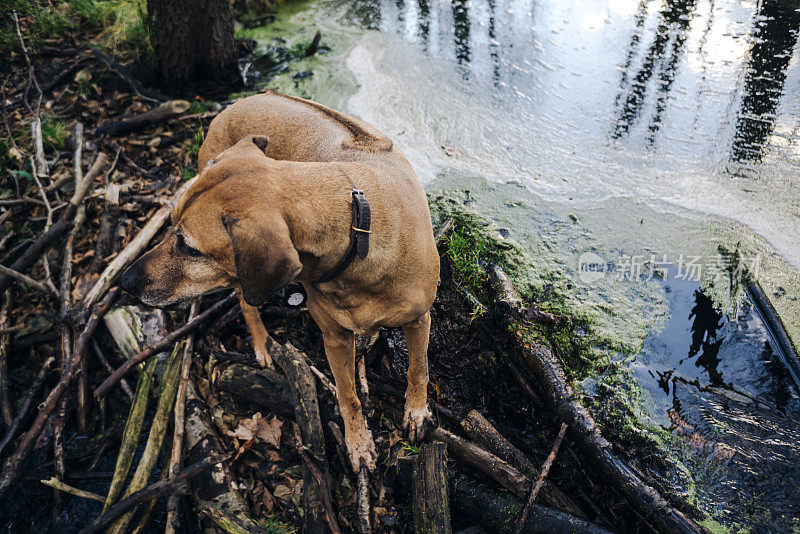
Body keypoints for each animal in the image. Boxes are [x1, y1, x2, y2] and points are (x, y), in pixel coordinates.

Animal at [120, 93, 438, 474]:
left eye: (190, 247)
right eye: (171, 226)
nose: (125, 281)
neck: (357, 233)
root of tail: (237, 102)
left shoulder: (419, 318)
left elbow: (418, 368)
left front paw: (417, 412)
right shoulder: (334, 338)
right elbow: (348, 397)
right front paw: (358, 443)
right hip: (244, 276)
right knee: (246, 302)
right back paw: (262, 344)